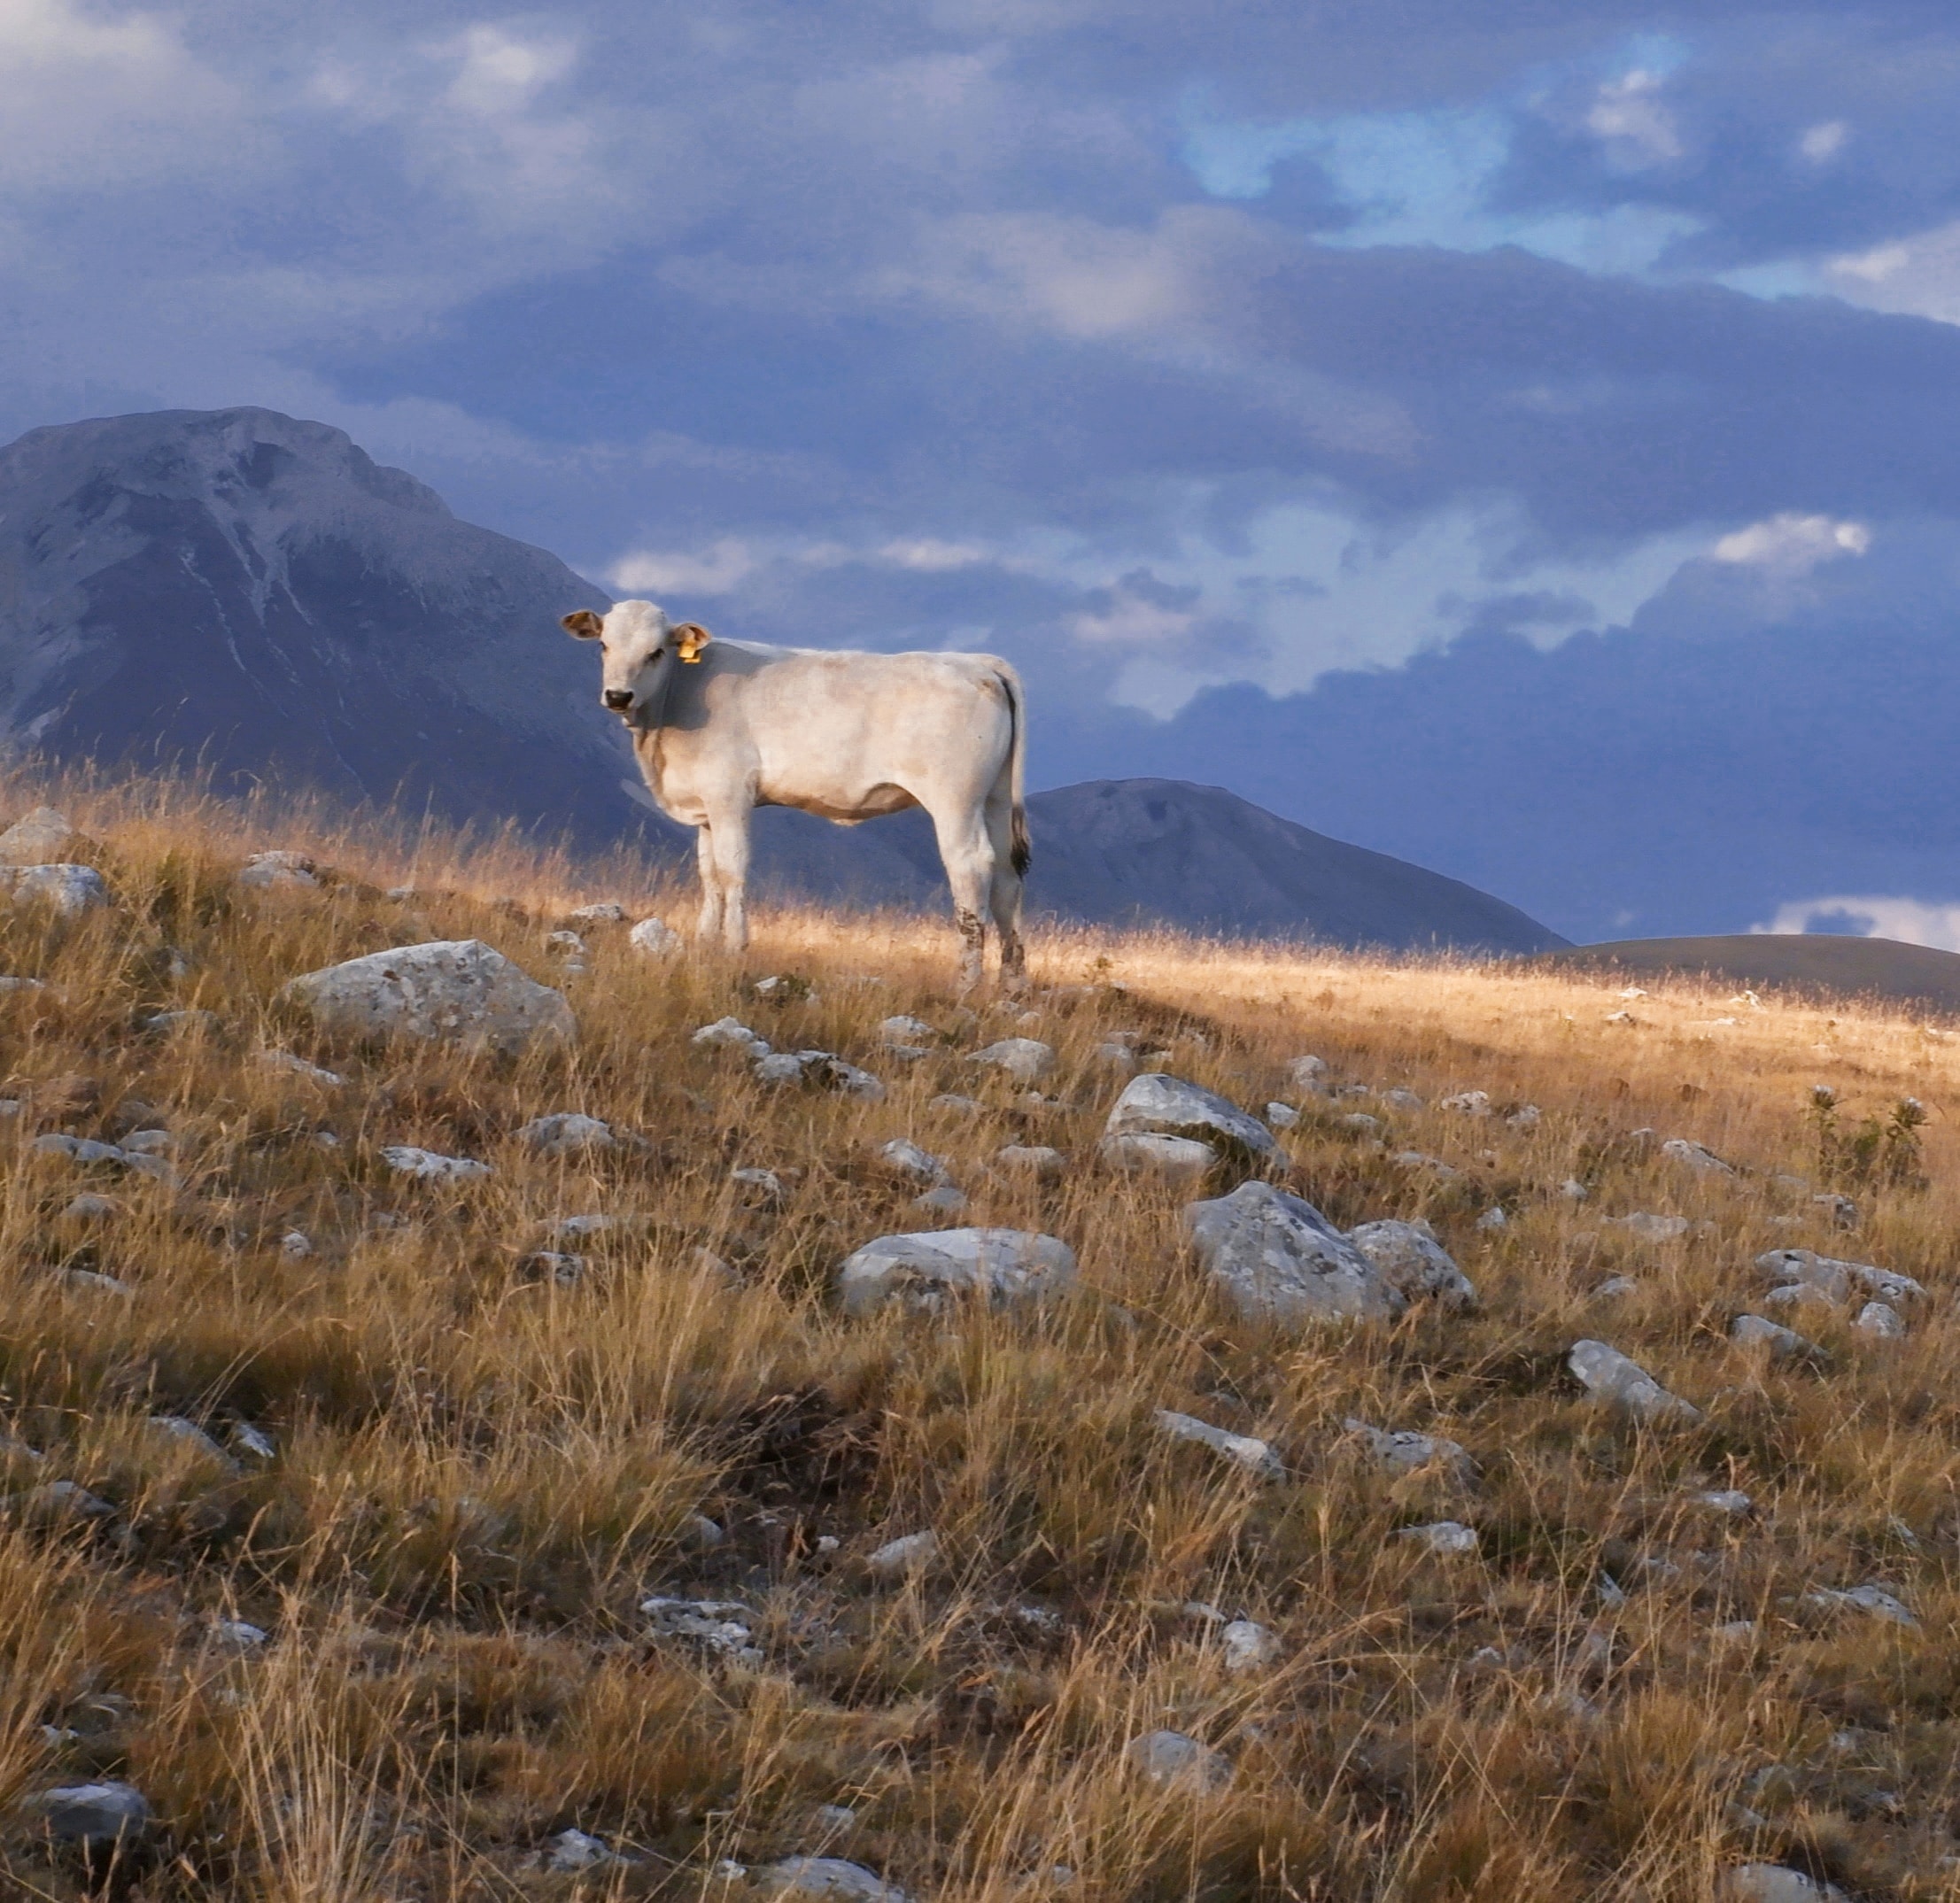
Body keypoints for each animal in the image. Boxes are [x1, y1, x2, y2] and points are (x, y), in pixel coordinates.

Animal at [561, 599, 1030, 989]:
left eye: (656, 651)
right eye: (603, 645)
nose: (618, 696)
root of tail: (977, 663)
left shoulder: (729, 793)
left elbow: (732, 869)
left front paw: (734, 948)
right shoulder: (706, 806)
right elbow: (710, 876)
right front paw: (705, 944)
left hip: (955, 798)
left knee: (971, 867)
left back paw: (966, 985)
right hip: (995, 799)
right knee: (1006, 877)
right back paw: (1013, 986)